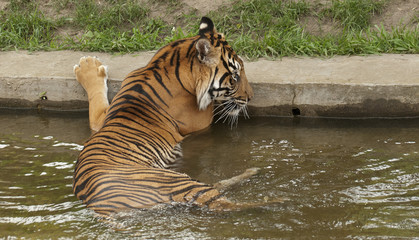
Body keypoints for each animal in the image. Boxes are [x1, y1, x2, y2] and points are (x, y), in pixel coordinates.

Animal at [72, 16, 262, 216]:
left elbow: (96, 100)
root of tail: (99, 205)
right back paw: (257, 176)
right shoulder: (201, 121)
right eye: (235, 77)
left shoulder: (101, 119)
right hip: (177, 181)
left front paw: (88, 65)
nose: (250, 97)